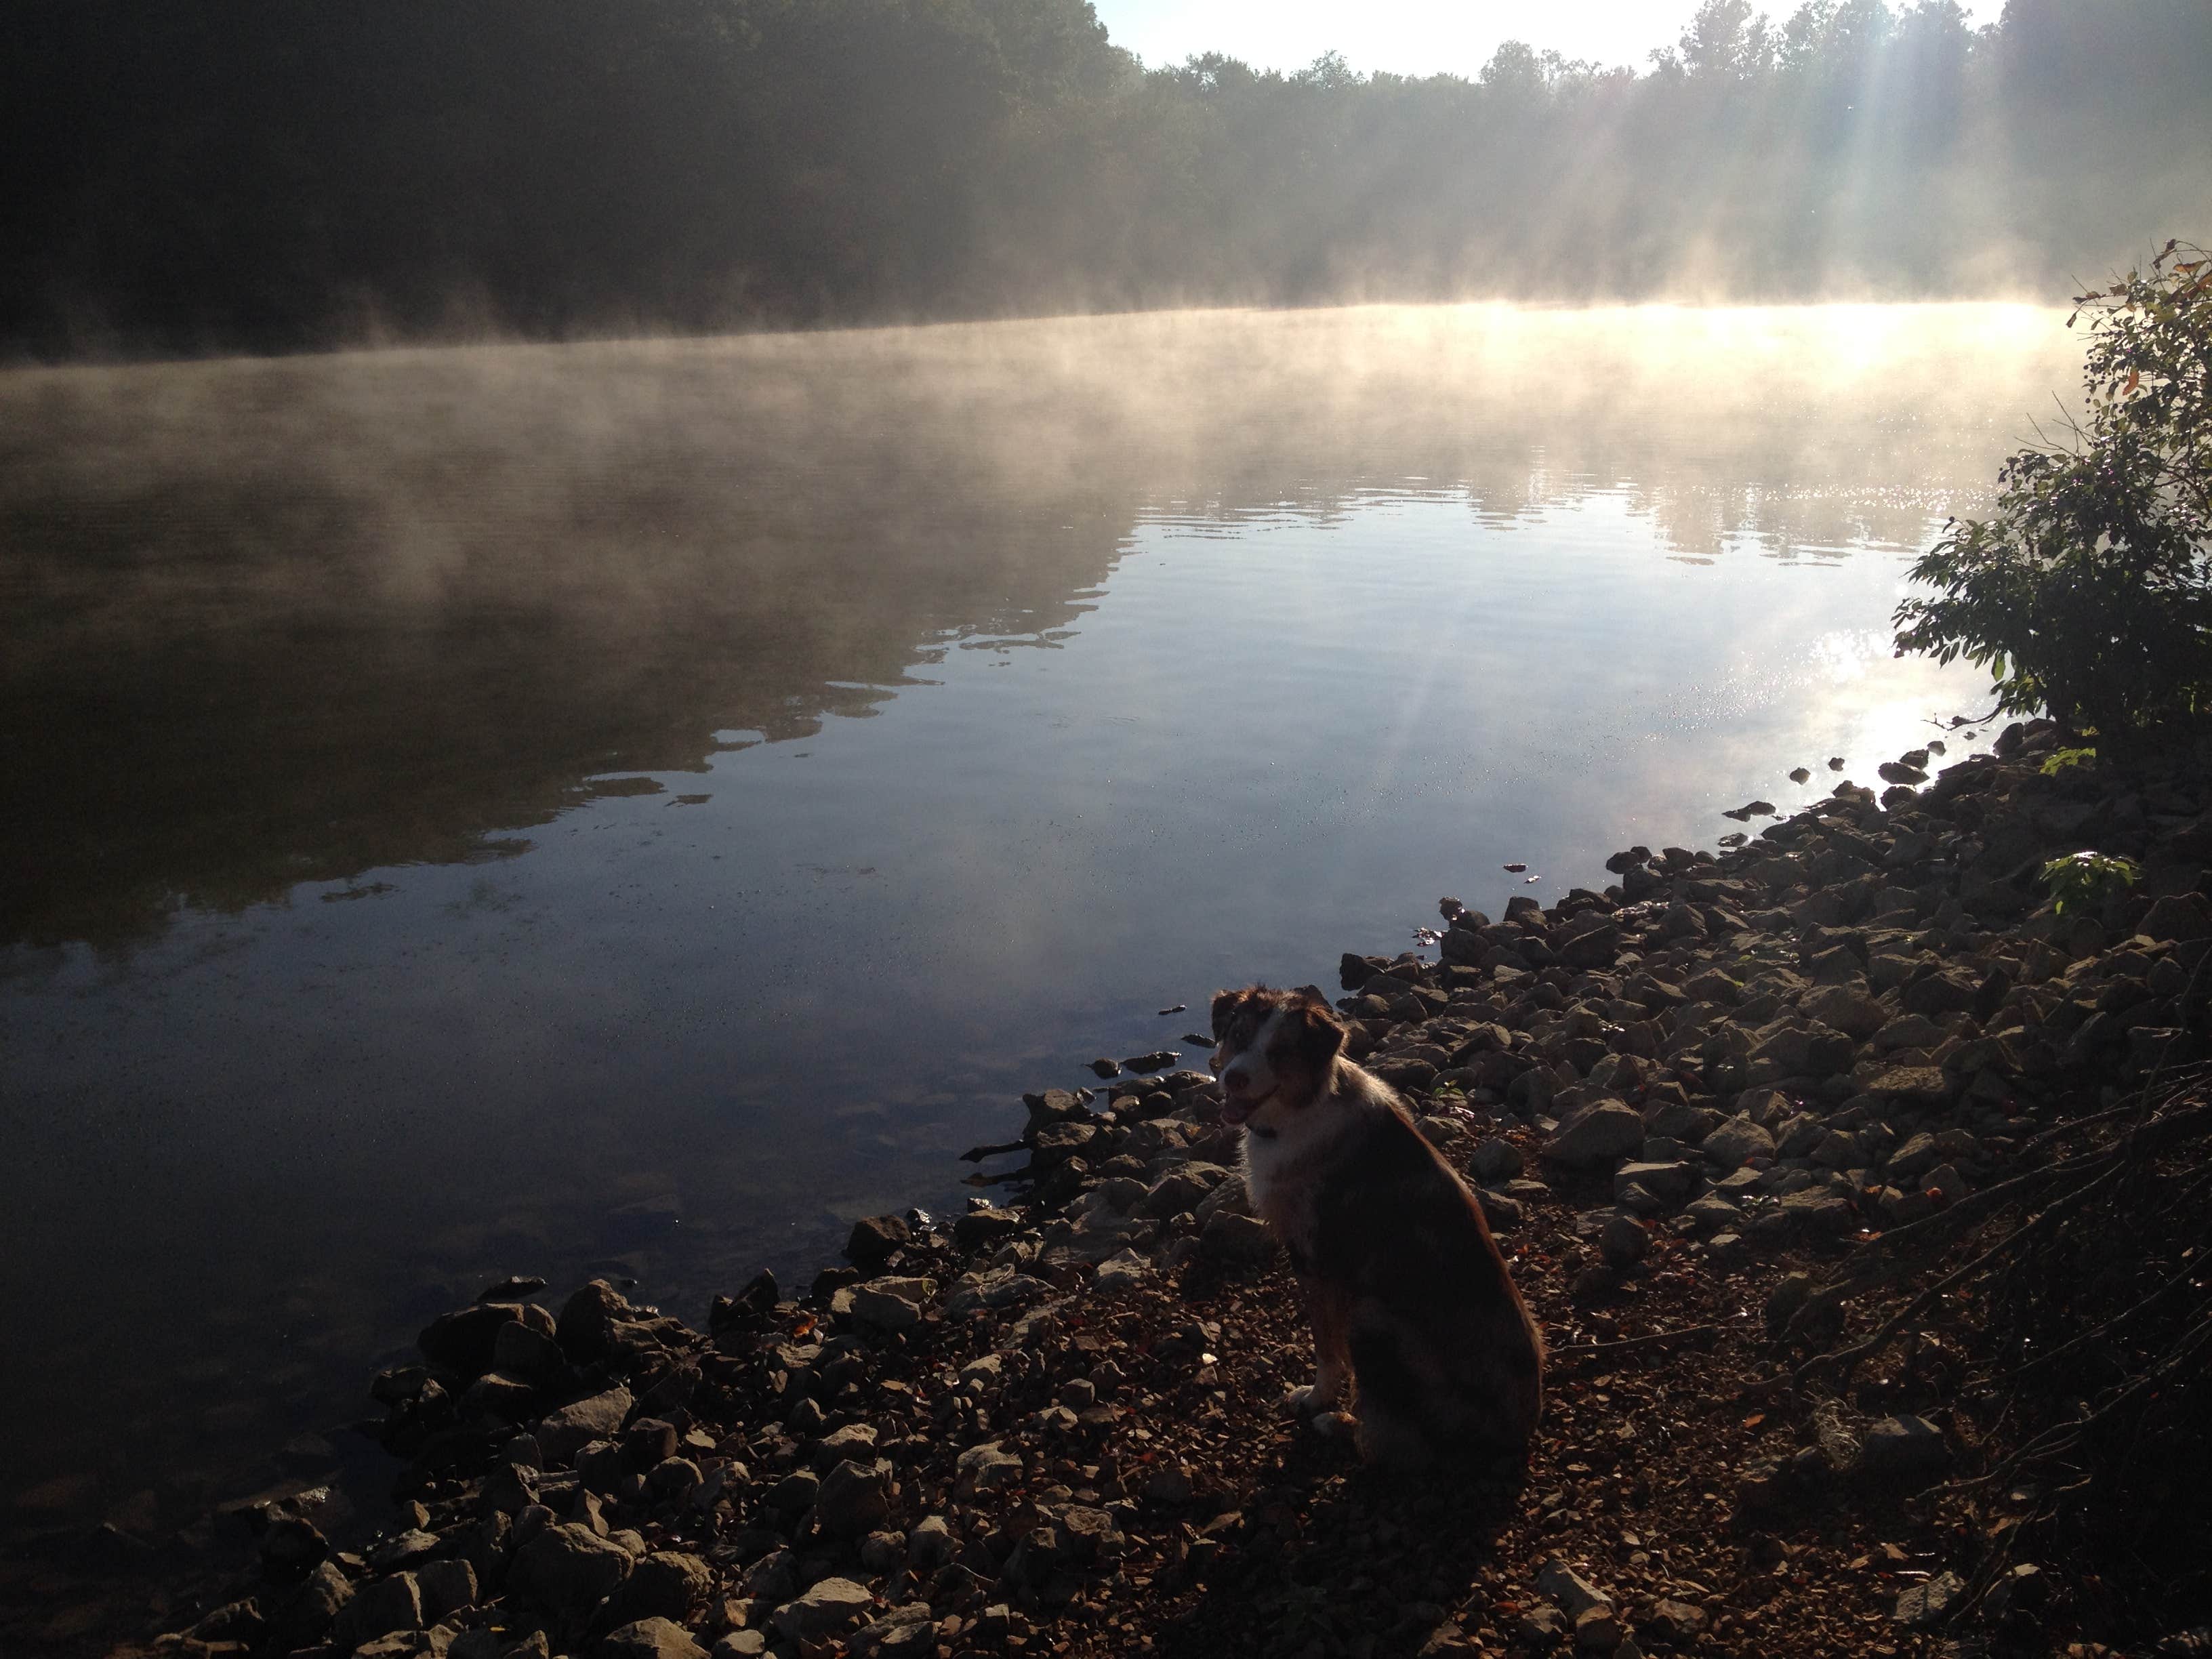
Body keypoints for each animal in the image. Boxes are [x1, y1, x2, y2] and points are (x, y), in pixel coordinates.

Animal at [1212, 986, 1539, 1469]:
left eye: (1281, 1052)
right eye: (1238, 1035)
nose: (1233, 1078)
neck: (1304, 1110)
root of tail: (1519, 1434)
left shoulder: (1316, 1260)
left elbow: (1327, 1347)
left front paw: (1317, 1399)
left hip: (1373, 1318)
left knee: (1401, 1445)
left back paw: (1341, 1425)